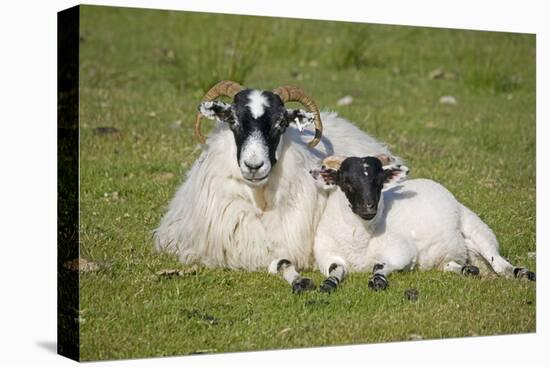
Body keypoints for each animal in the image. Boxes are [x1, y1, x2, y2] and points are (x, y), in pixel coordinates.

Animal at [312, 155, 536, 294]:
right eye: (346, 182)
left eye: (379, 182)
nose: (369, 208)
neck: (359, 241)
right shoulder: (326, 256)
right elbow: (335, 269)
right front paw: (328, 284)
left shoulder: (402, 251)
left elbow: (380, 265)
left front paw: (378, 280)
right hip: (448, 254)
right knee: (452, 265)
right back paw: (467, 270)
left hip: (476, 227)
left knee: (498, 262)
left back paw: (522, 273)